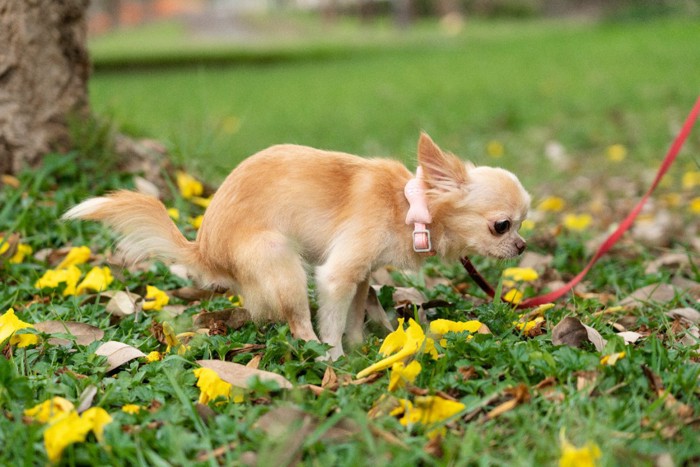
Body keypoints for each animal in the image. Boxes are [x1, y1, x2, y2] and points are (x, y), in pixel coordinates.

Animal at [64, 133, 532, 360]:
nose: (523, 245)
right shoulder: (336, 276)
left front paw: (365, 342)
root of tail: (204, 250)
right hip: (279, 260)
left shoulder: (362, 274)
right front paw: (340, 355)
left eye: (523, 224)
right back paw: (319, 357)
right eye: (501, 226)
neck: (407, 206)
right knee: (299, 325)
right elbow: (332, 320)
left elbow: (358, 312)